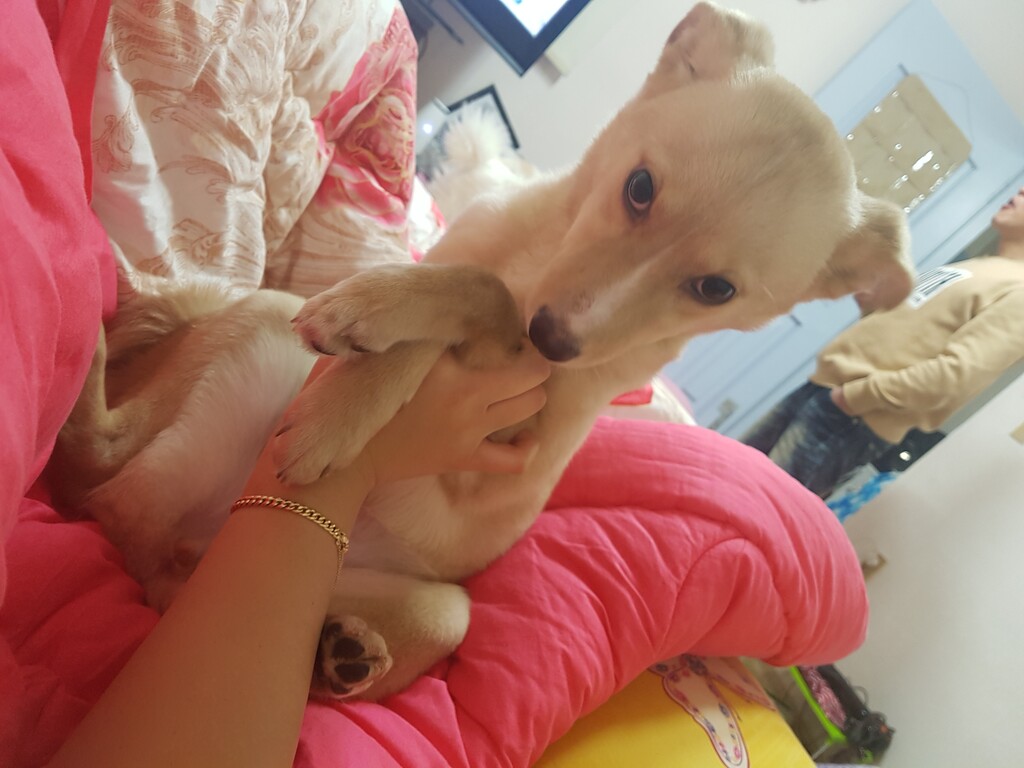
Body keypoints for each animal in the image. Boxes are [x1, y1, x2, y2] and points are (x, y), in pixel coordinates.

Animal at [49, 2, 914, 701]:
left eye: (716, 289)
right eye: (639, 189)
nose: (555, 340)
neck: (537, 274)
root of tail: (183, 536)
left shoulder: (510, 463)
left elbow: (482, 302)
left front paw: (356, 370)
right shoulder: (465, 282)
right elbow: (471, 286)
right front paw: (358, 364)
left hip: (426, 588)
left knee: (121, 501)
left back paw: (340, 652)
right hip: (260, 329)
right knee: (107, 474)